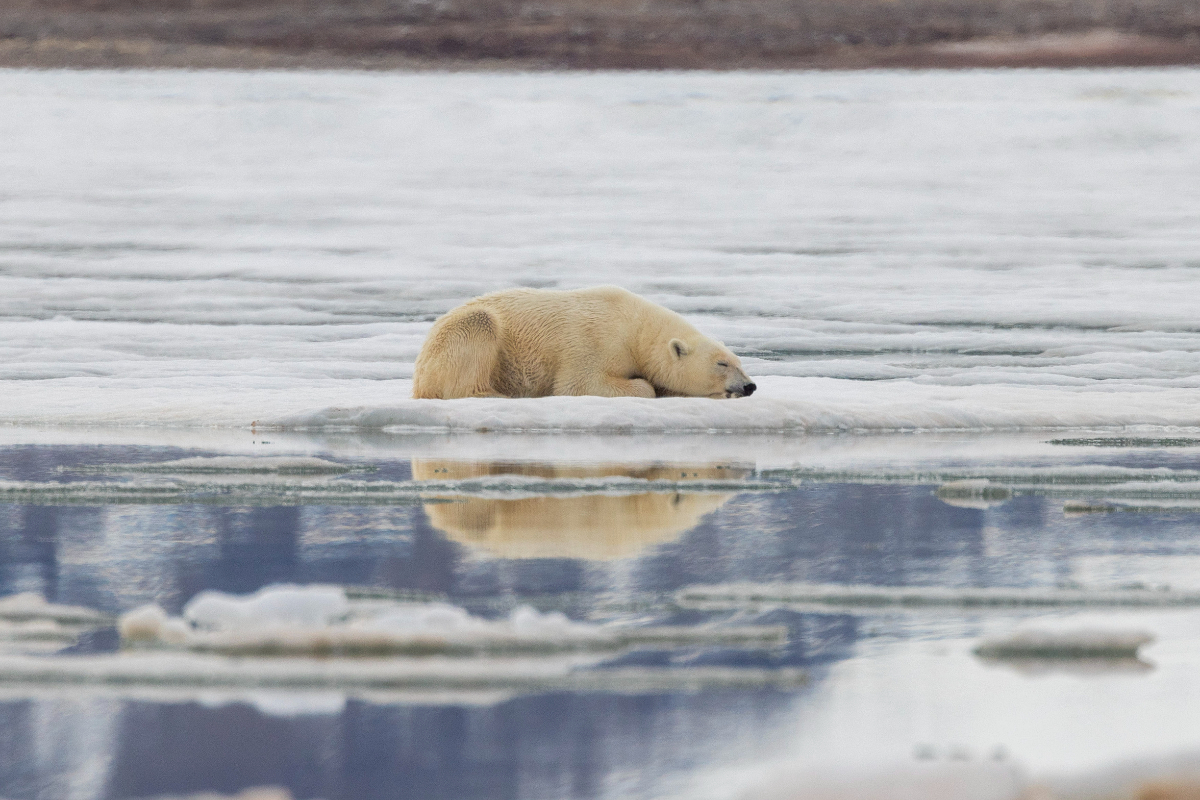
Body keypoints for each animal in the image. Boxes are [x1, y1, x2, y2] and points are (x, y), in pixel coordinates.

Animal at [411, 286, 756, 399]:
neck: (634, 326)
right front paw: (644, 386)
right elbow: (579, 384)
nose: (749, 386)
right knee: (479, 326)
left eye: (740, 362)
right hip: (459, 337)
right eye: (722, 363)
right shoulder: (592, 342)